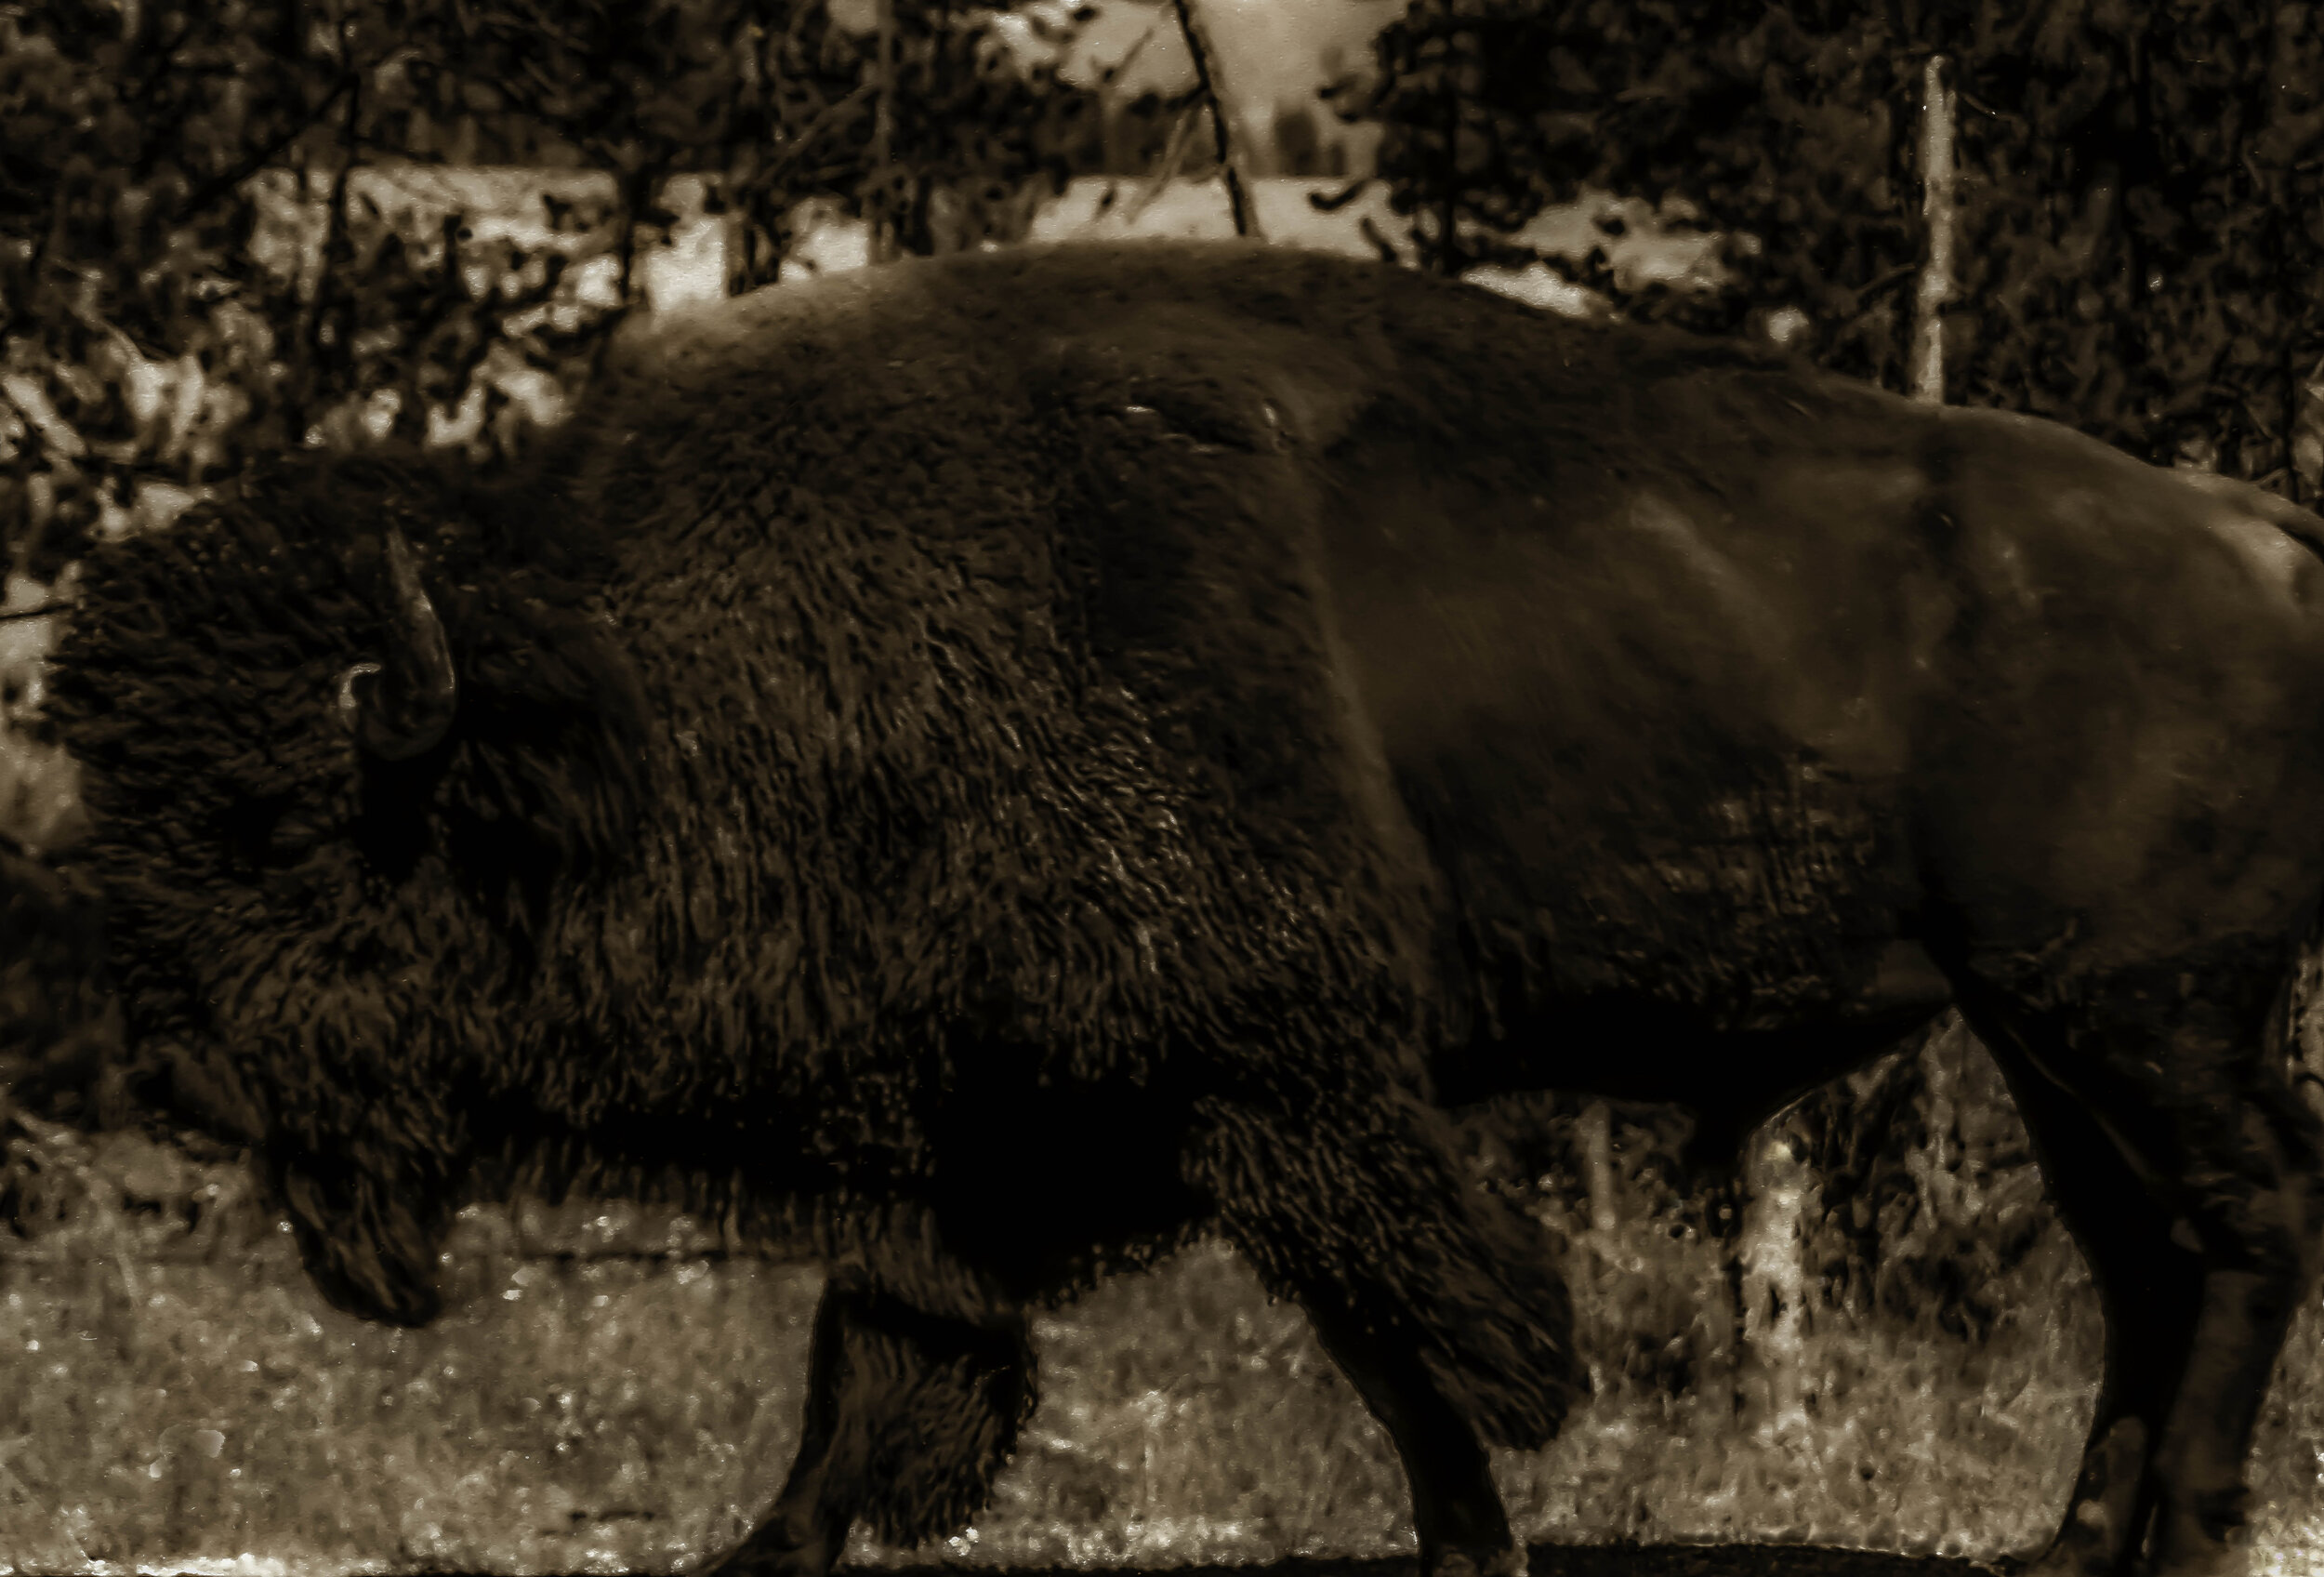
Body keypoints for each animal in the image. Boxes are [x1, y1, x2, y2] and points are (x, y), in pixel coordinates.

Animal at [40, 238, 2324, 1577]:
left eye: (304, 837)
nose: (177, 1074)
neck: (637, 689)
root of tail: (2248, 530)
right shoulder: (975, 1133)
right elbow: (874, 1371)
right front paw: (770, 1548)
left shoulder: (1270, 1082)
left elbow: (1410, 1334)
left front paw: (1474, 1543)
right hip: (2045, 1030)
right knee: (2146, 1257)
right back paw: (2068, 1548)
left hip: (2136, 1009)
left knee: (2243, 1222)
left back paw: (2192, 1535)